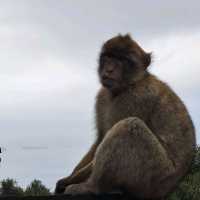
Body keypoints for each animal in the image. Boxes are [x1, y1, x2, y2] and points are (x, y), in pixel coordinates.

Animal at [54, 33, 195, 199]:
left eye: (122, 60)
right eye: (108, 57)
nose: (109, 70)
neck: (129, 84)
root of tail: (168, 190)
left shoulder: (135, 98)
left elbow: (111, 134)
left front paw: (68, 181)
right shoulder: (102, 96)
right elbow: (100, 139)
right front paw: (67, 178)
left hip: (154, 176)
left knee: (129, 127)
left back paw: (93, 186)